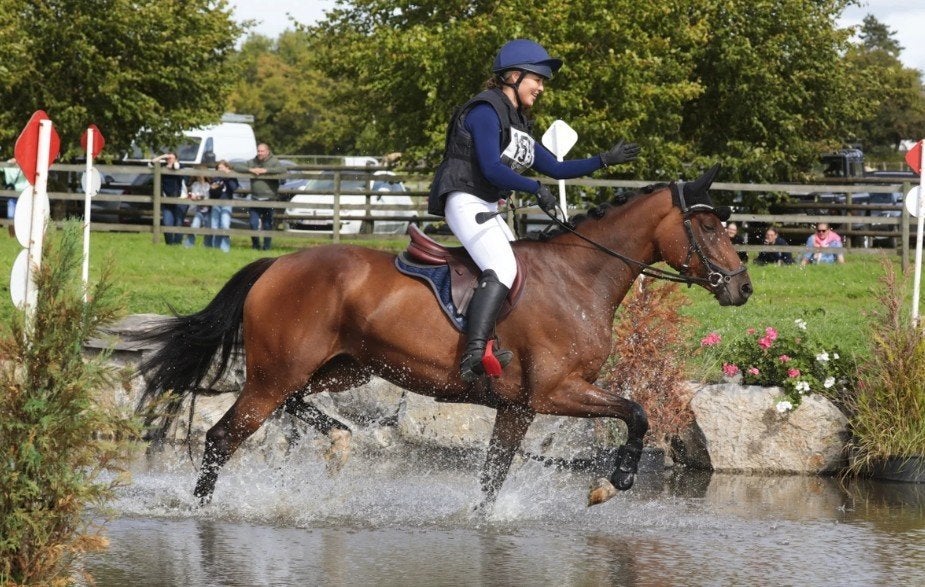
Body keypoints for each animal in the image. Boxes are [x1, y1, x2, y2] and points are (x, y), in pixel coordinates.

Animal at [132, 164, 752, 508]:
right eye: (708, 226)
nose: (742, 287)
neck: (581, 276)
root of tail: (277, 265)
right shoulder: (557, 392)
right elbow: (638, 413)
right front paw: (612, 483)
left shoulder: (519, 408)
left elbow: (492, 481)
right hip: (277, 371)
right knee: (223, 437)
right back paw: (203, 511)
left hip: (342, 367)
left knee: (296, 404)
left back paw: (338, 440)